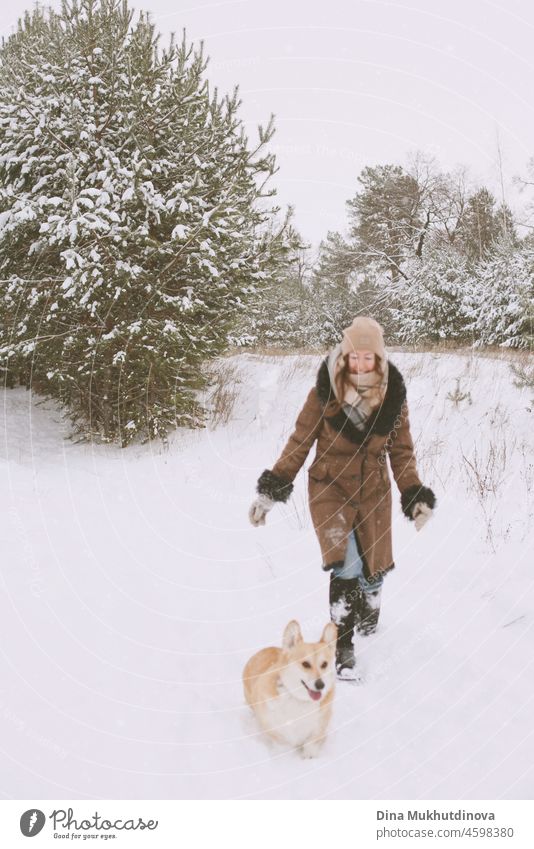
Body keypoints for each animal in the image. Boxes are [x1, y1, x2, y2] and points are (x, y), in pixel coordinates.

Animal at [244, 616, 338, 756]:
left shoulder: (318, 731)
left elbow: (311, 746)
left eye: (324, 664)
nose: (321, 685)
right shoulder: (276, 732)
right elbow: (282, 743)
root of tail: (265, 649)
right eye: (305, 664)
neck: (299, 700)